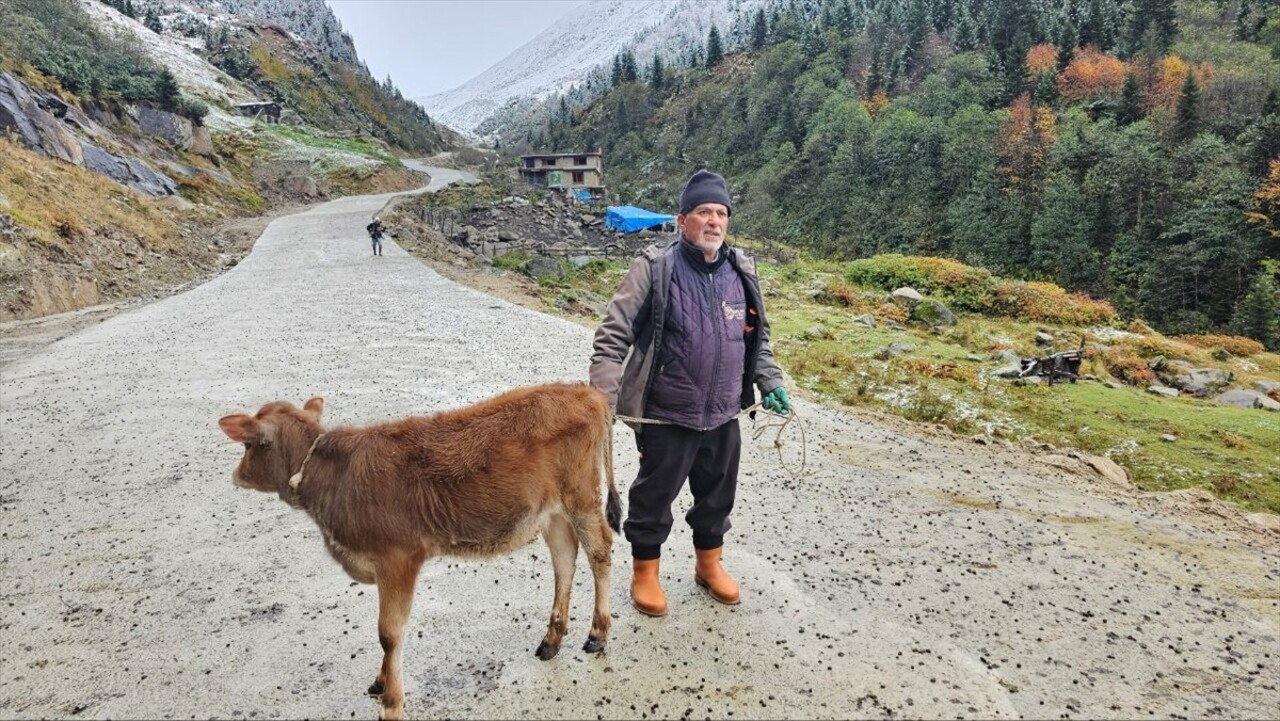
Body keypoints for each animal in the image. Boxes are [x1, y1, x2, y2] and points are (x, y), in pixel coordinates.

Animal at [218, 381, 619, 717]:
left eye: (248, 444)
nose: (235, 475)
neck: (336, 478)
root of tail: (583, 390)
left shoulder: (398, 559)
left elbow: (389, 633)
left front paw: (391, 702)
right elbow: (386, 636)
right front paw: (381, 682)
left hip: (582, 499)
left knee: (600, 551)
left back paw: (597, 634)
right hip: (552, 512)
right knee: (564, 558)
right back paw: (552, 639)